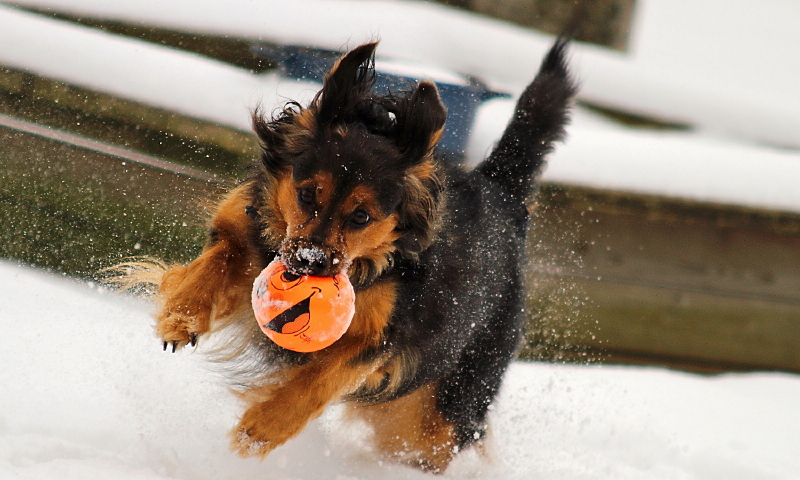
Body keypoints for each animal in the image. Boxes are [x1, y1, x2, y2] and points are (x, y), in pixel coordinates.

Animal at [136, 38, 576, 472]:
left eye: (362, 216)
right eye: (306, 194)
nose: (306, 263)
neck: (364, 265)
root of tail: (502, 195)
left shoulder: (381, 337)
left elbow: (320, 380)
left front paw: (262, 428)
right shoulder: (245, 233)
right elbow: (216, 261)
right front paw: (182, 315)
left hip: (440, 410)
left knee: (436, 442)